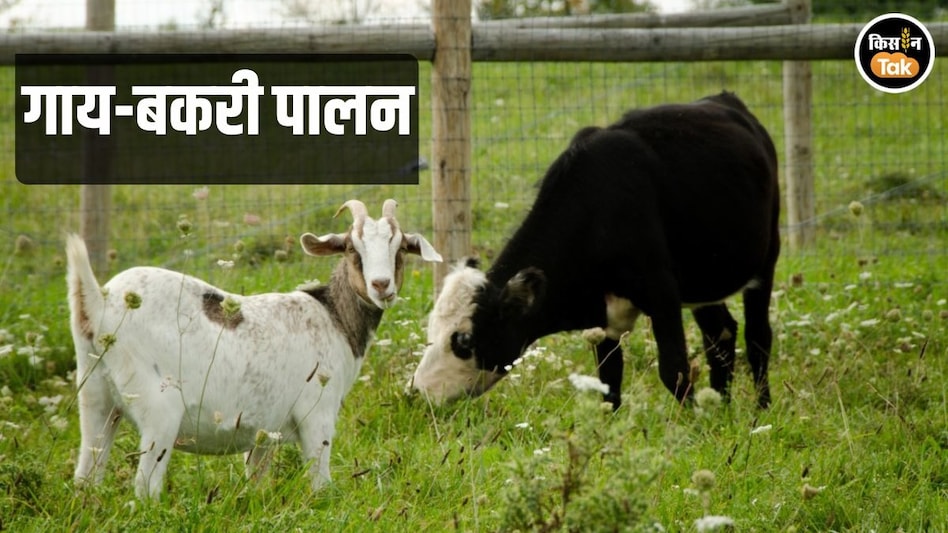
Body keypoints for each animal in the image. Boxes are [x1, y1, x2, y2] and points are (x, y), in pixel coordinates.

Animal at [67, 199, 441, 500]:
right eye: (352, 248)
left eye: (400, 248)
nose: (381, 285)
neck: (332, 317)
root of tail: (99, 302)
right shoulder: (316, 412)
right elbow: (320, 482)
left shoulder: (263, 432)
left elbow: (257, 479)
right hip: (159, 407)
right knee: (145, 487)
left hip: (96, 396)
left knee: (86, 474)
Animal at [411, 92, 780, 410]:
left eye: (463, 340)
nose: (418, 392)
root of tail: (724, 100)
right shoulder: (603, 320)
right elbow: (609, 384)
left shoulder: (661, 292)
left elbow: (673, 370)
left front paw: (692, 427)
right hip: (705, 280)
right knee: (721, 335)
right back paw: (722, 406)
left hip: (766, 259)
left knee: (758, 338)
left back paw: (760, 410)